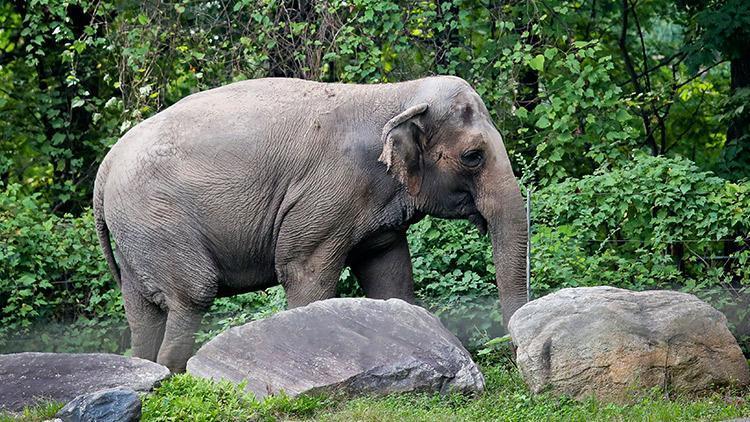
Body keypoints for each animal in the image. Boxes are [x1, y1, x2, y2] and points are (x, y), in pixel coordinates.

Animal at [94, 76, 528, 372]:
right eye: (473, 157)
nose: (513, 356)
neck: (395, 94)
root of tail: (106, 166)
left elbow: (390, 276)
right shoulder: (327, 194)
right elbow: (305, 274)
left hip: (136, 235)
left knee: (142, 312)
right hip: (158, 220)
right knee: (192, 295)